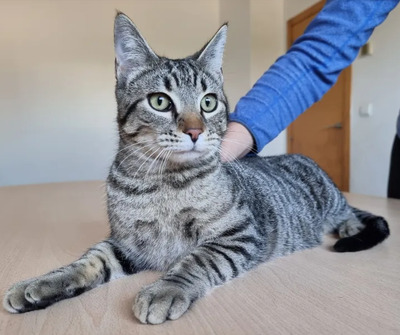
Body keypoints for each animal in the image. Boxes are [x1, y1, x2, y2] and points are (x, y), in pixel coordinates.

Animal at [3, 11, 390, 324]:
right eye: (160, 101)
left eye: (208, 102)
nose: (194, 131)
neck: (160, 183)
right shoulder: (127, 245)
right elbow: (89, 261)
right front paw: (42, 283)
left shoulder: (238, 233)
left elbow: (197, 260)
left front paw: (166, 289)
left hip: (330, 201)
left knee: (348, 213)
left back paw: (349, 226)